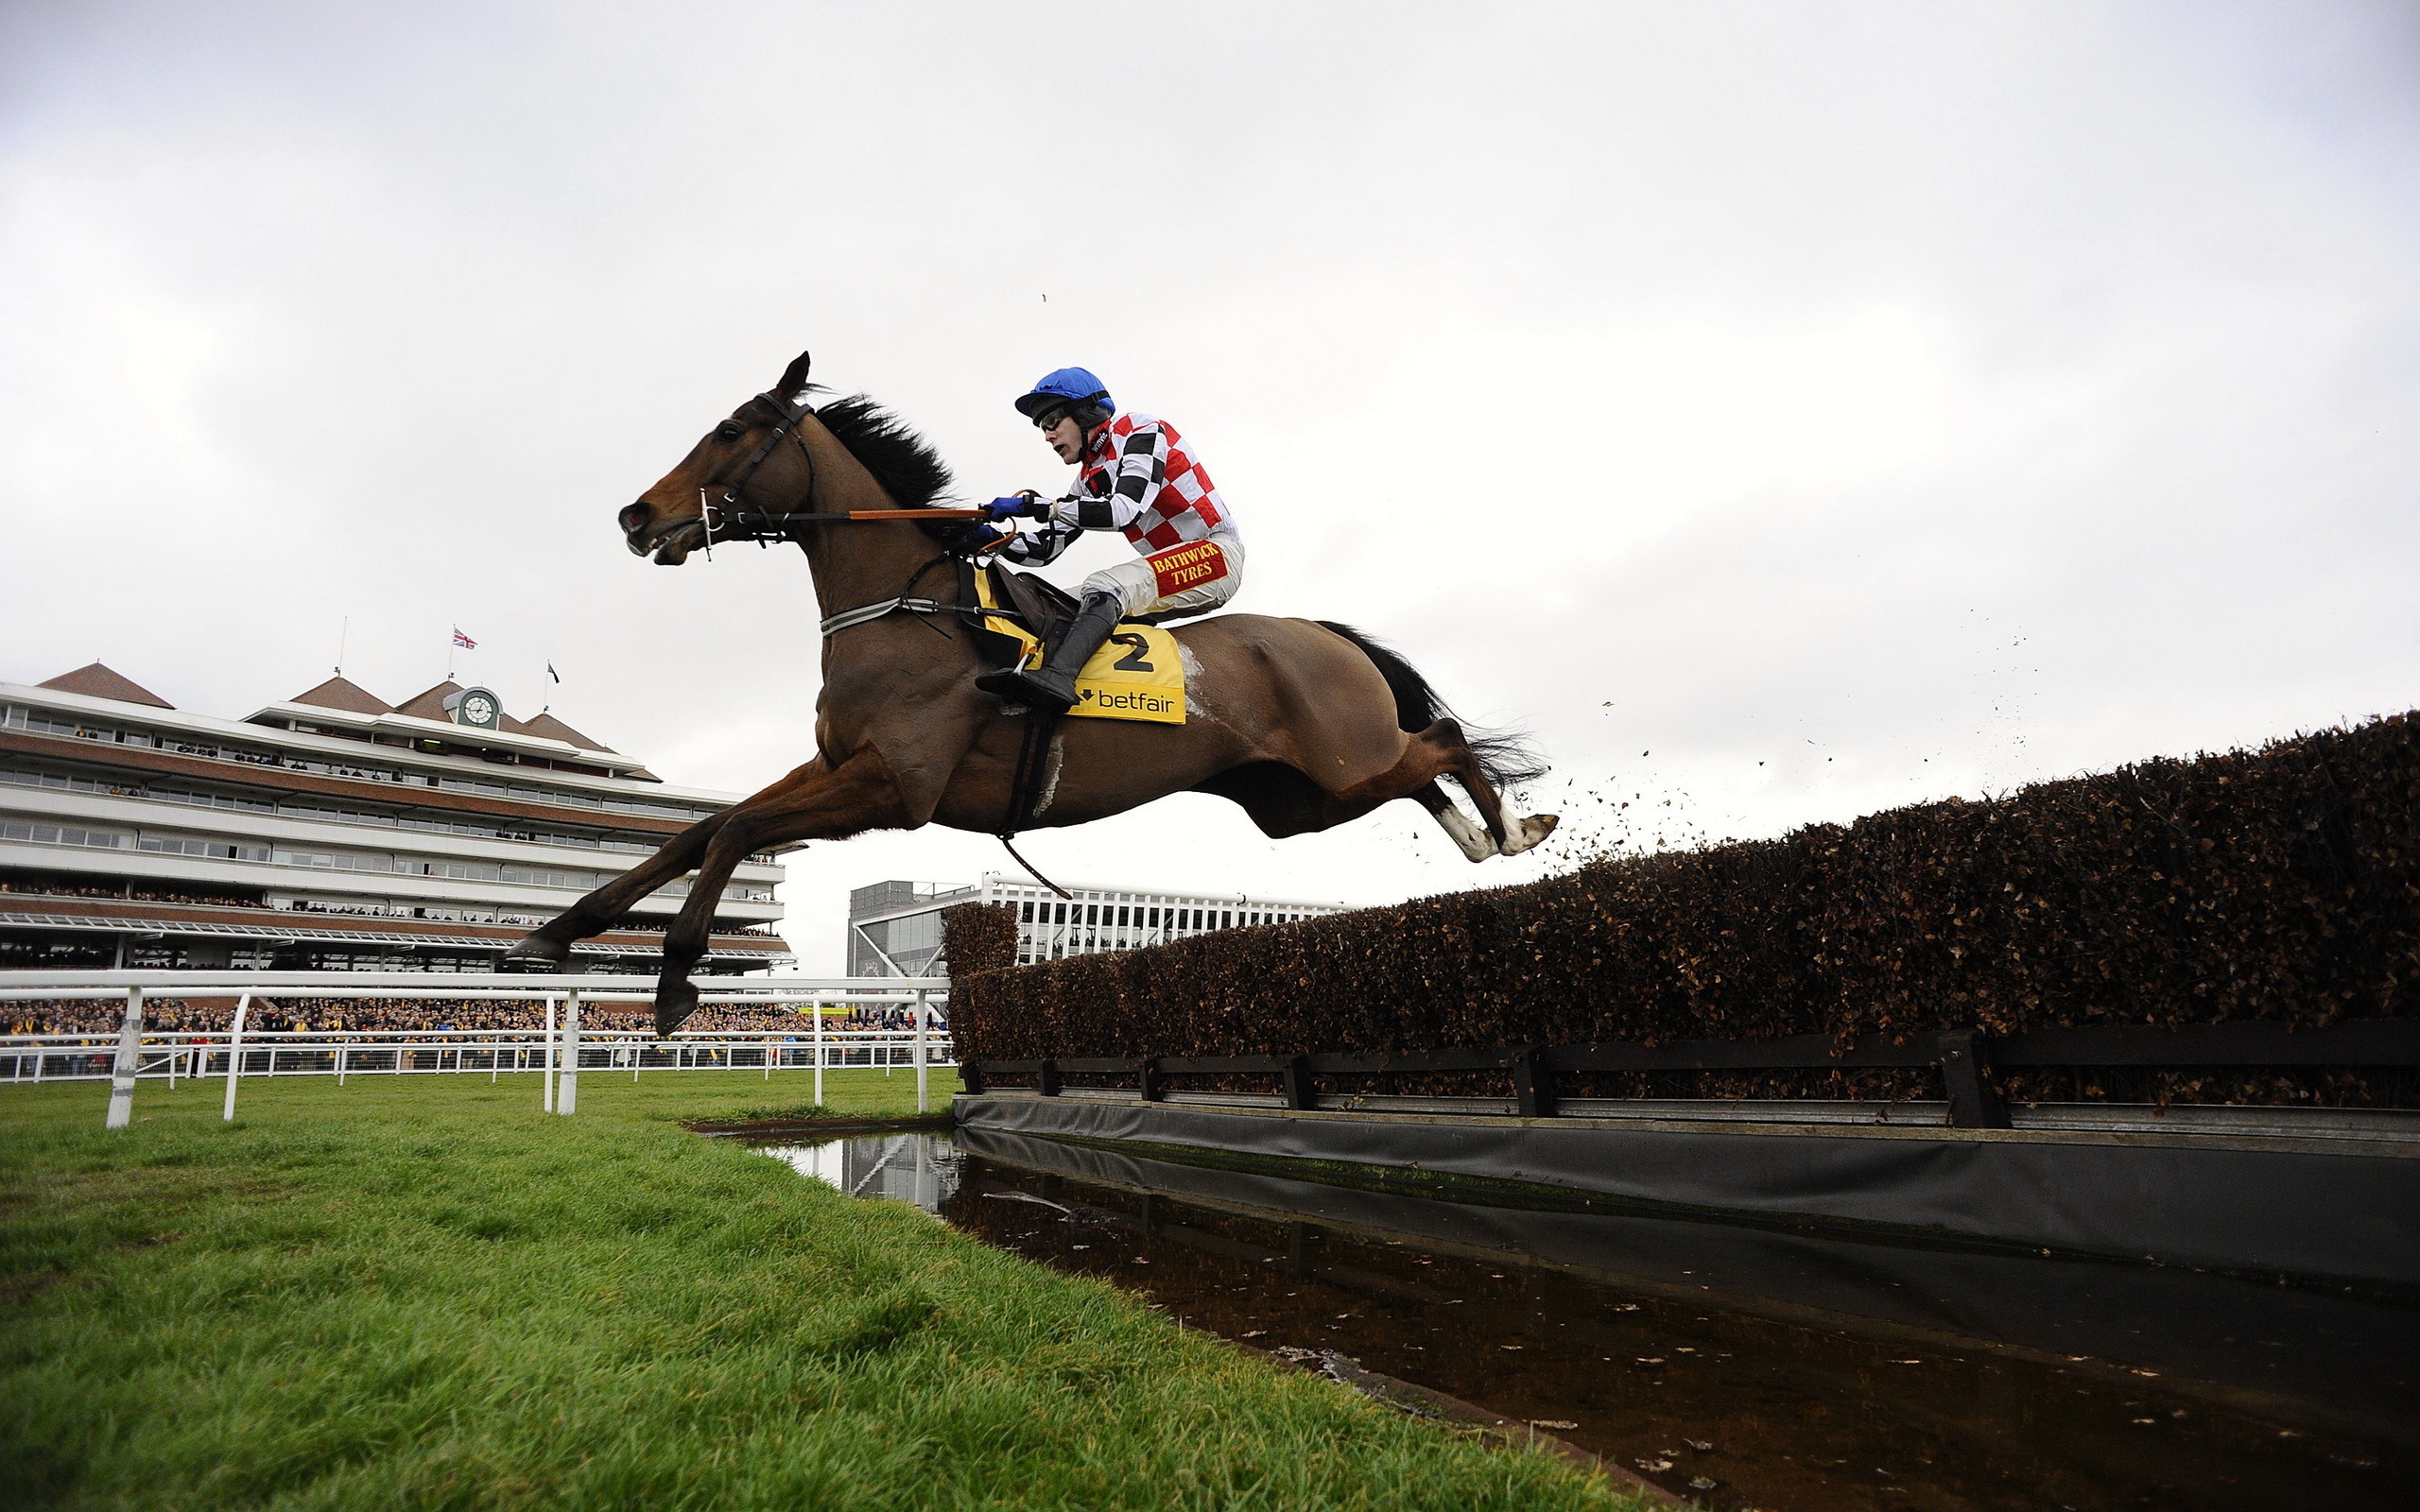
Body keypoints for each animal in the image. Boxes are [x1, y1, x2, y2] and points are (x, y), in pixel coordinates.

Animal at [512, 348, 1567, 1030]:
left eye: (730, 432)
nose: (636, 516)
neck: (905, 609)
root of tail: (1324, 636)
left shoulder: (895, 787)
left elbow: (732, 830)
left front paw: (674, 981)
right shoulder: (837, 764)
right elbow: (702, 828)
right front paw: (559, 931)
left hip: (1340, 761)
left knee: (1443, 746)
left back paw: (1515, 829)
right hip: (1300, 801)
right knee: (1418, 774)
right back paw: (1486, 837)